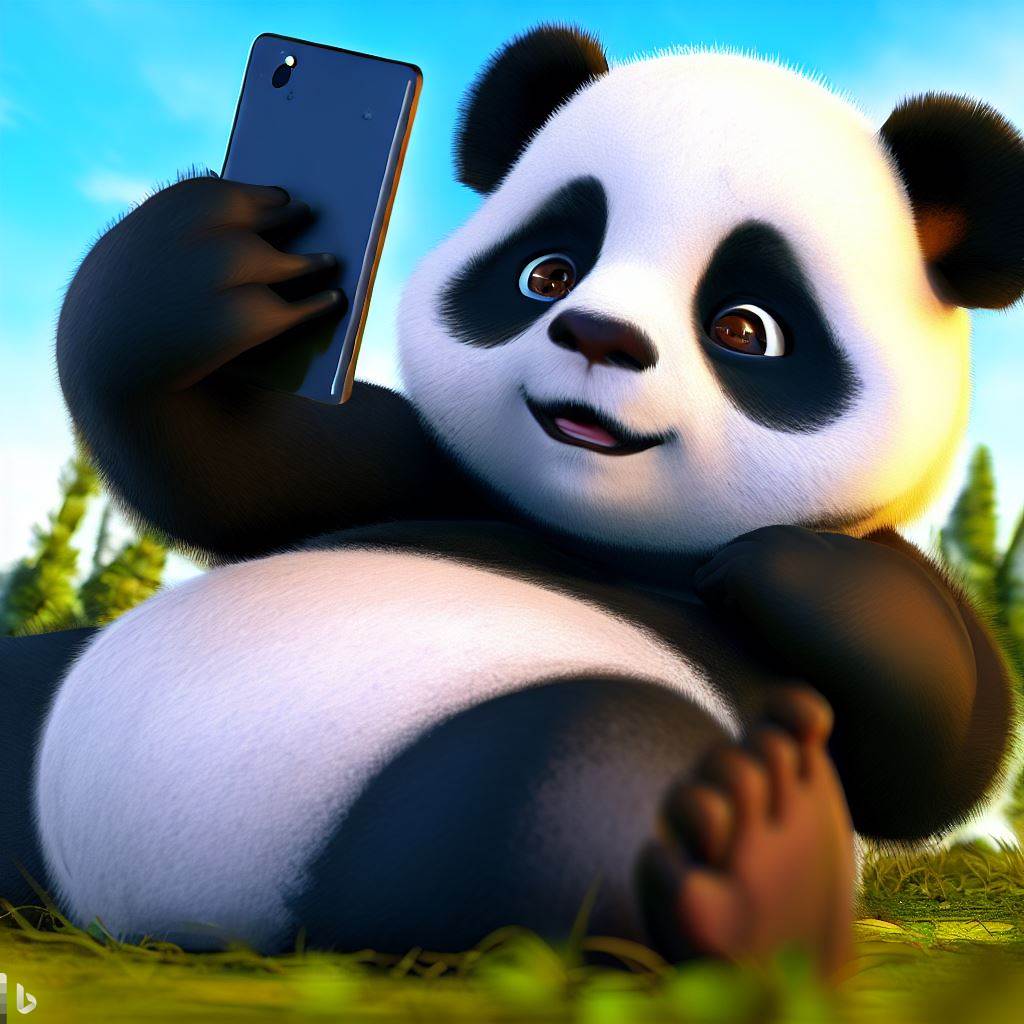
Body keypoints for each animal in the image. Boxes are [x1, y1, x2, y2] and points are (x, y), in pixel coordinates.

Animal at [3, 24, 1023, 972]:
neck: (597, 536)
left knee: (564, 796)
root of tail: (158, 916)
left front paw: (783, 564)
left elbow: (944, 745)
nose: (601, 335)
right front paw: (206, 260)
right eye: (548, 274)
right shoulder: (433, 467)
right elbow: (227, 469)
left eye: (745, 328)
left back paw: (756, 865)